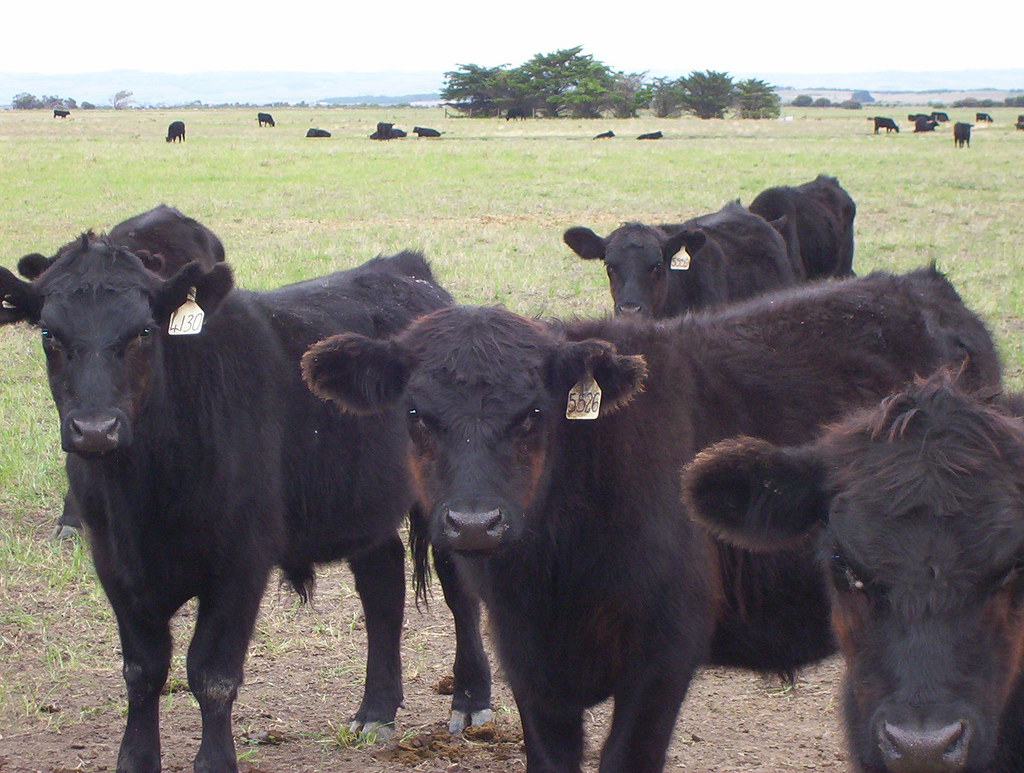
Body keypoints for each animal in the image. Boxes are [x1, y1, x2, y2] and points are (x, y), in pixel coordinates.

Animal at [0, 242, 493, 771]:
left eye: (144, 331)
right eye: (49, 334)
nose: (95, 429)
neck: (145, 495)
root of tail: (409, 270)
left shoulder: (241, 561)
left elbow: (212, 674)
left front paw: (216, 760)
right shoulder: (114, 562)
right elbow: (143, 670)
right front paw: (135, 759)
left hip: (450, 504)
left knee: (459, 593)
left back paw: (470, 701)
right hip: (361, 499)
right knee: (382, 588)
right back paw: (376, 711)